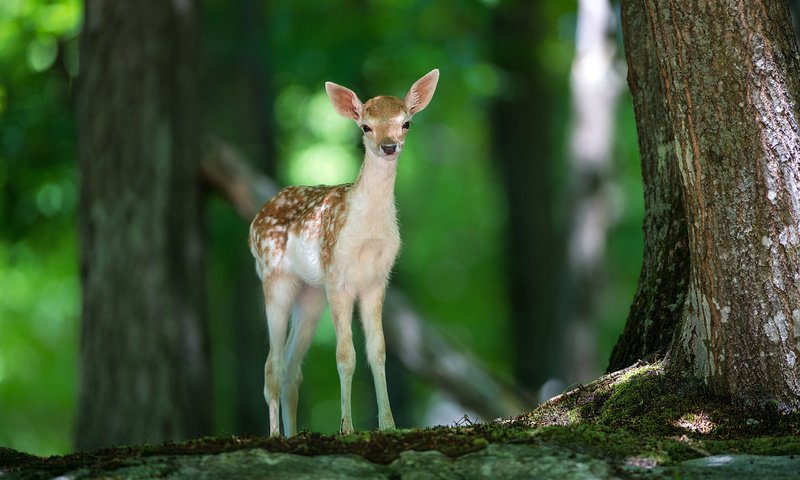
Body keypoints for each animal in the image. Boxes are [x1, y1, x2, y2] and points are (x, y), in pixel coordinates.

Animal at [248, 69, 440, 436]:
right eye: (365, 126)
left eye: (406, 122)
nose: (389, 146)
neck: (367, 233)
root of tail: (255, 219)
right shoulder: (338, 278)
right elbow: (345, 355)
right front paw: (347, 428)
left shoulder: (377, 281)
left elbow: (377, 351)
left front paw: (388, 425)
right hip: (274, 277)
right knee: (270, 365)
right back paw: (276, 435)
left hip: (311, 293)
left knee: (291, 369)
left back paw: (292, 434)